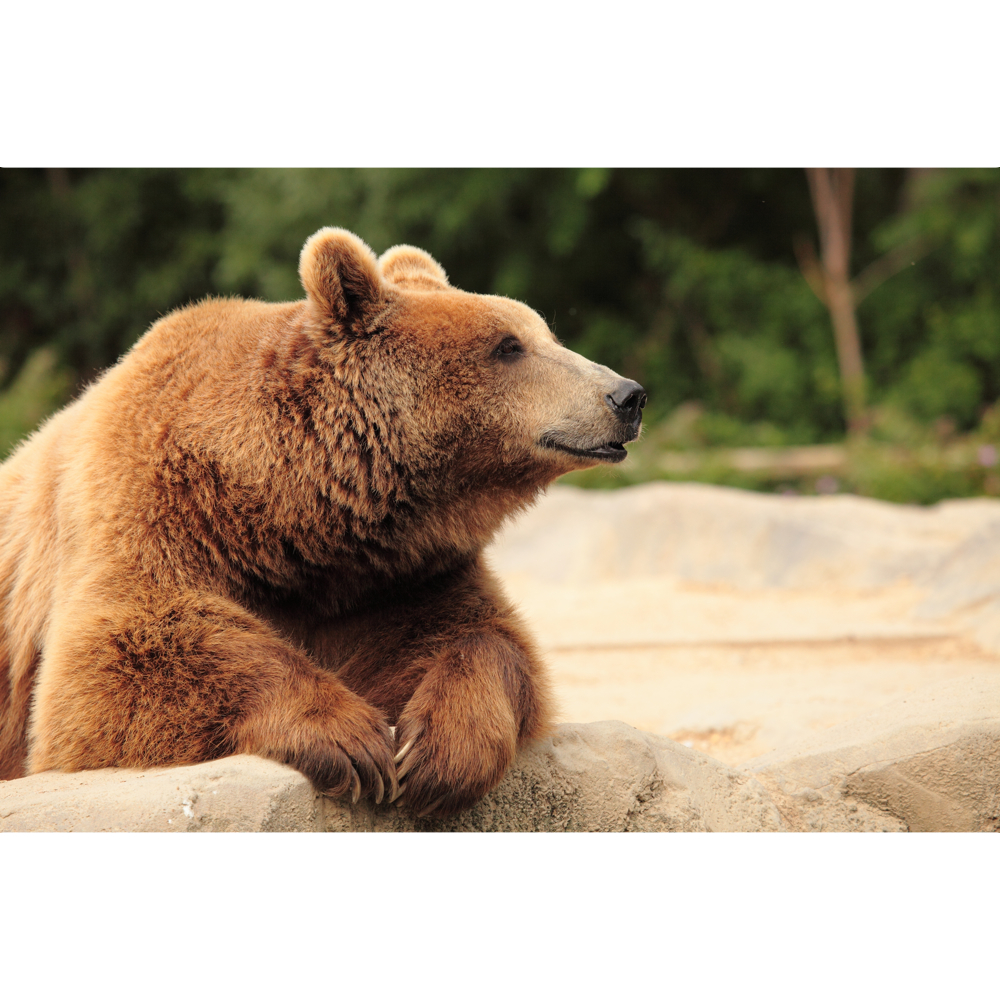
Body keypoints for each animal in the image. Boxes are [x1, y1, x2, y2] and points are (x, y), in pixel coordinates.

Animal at [0, 228, 646, 817]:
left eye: (546, 334)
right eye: (508, 346)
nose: (627, 395)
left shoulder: (395, 578)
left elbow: (484, 638)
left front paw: (434, 753)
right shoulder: (148, 507)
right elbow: (119, 658)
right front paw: (352, 743)